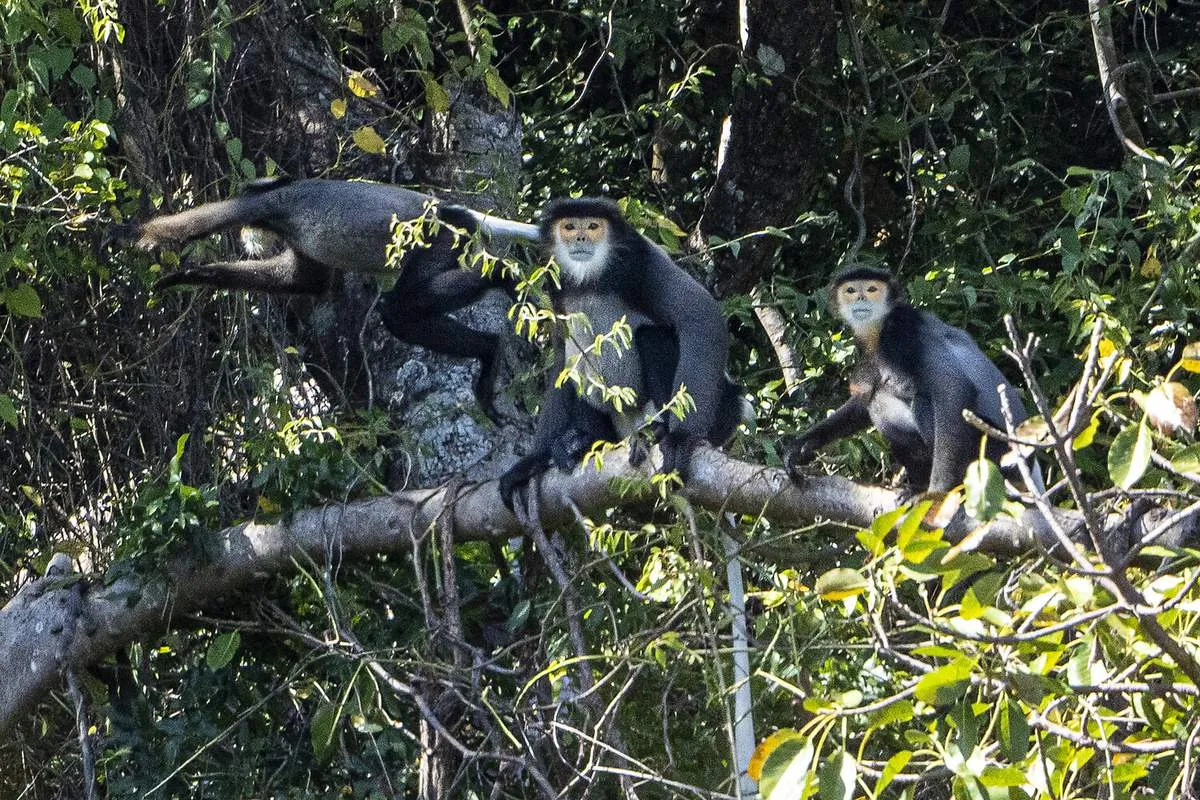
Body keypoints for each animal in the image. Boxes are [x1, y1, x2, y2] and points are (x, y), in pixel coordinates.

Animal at [105, 176, 542, 419]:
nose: (248, 235)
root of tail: (452, 210)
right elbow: (304, 281)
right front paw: (197, 276)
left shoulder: (263, 204)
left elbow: (191, 225)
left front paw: (131, 233)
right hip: (453, 240)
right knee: (402, 314)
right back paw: (490, 345)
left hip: (438, 238)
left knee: (398, 309)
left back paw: (504, 284)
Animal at [499, 197, 748, 510]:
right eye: (570, 226)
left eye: (593, 226)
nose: (581, 238)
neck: (589, 279)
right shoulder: (555, 285)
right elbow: (561, 360)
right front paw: (534, 461)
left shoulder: (640, 260)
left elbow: (701, 316)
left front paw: (681, 437)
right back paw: (583, 442)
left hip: (715, 415)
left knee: (652, 336)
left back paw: (659, 431)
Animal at [787, 266, 1041, 496]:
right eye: (850, 290)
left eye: (871, 289)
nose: (860, 297)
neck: (880, 327)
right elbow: (861, 402)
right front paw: (802, 445)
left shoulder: (902, 331)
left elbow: (953, 388)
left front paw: (939, 490)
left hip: (993, 451)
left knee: (903, 401)